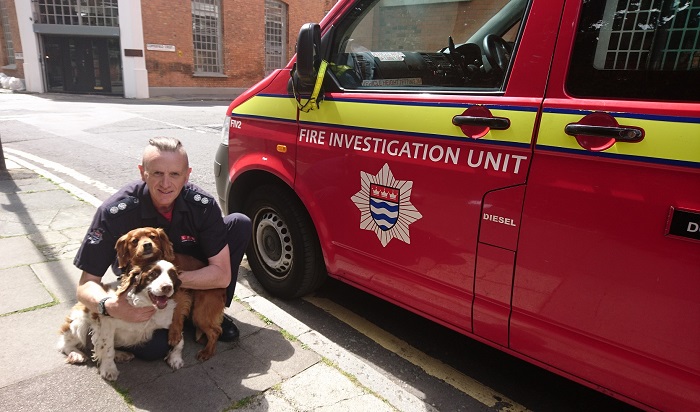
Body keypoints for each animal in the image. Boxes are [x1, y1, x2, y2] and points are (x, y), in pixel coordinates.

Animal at [114, 227, 224, 362]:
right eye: (135, 241)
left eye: (153, 237)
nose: (147, 245)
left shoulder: (180, 295)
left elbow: (176, 313)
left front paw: (174, 334)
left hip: (200, 314)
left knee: (216, 331)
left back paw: (207, 352)